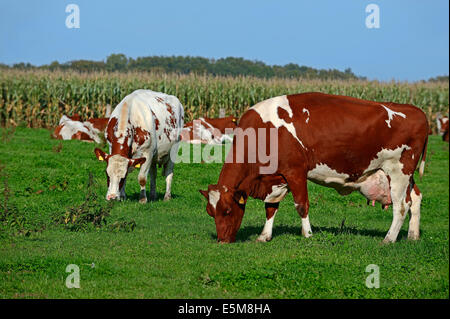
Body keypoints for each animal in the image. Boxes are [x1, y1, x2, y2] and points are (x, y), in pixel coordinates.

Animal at [200, 92, 428, 245]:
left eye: (227, 210)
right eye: (211, 212)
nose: (222, 240)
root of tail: (416, 111)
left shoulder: (296, 172)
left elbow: (302, 205)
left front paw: (308, 234)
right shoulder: (277, 177)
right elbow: (271, 207)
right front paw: (264, 236)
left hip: (399, 171)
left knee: (401, 206)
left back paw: (388, 239)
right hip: (403, 176)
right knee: (416, 197)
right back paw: (413, 235)